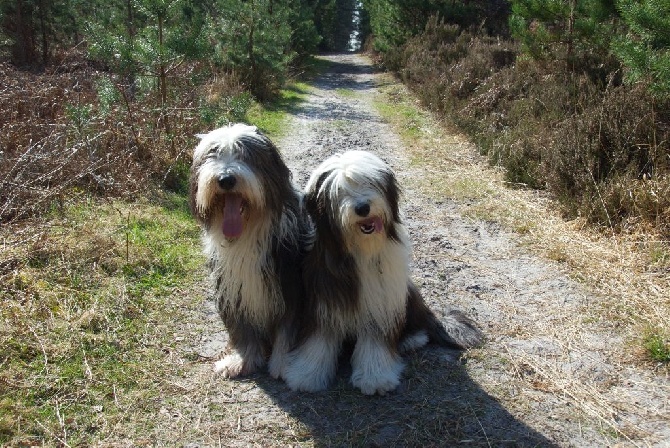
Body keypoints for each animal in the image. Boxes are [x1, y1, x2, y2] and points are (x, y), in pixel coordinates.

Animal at [190, 124, 312, 380]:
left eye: (245, 155)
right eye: (213, 154)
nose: (226, 179)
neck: (246, 235)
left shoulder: (291, 287)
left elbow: (288, 330)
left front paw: (284, 363)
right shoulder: (234, 289)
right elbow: (243, 331)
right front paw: (242, 360)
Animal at [282, 151, 484, 396]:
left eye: (369, 182)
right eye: (339, 191)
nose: (362, 208)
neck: (362, 250)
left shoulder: (381, 302)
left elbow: (375, 344)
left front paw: (375, 379)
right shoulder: (325, 300)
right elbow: (317, 342)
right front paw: (306, 375)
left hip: (407, 292)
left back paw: (411, 339)